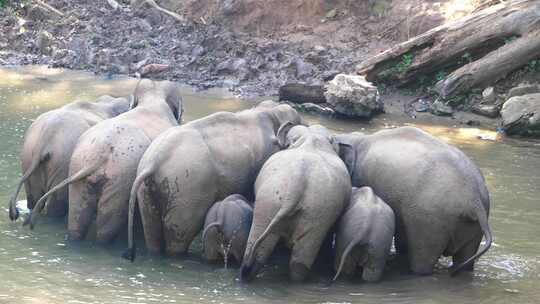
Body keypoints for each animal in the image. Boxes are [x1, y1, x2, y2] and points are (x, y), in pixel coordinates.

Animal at [30, 79, 184, 243]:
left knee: (76, 219)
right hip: (120, 179)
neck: (153, 100)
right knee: (107, 226)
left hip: (78, 167)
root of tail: (100, 154)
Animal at [123, 100, 304, 262]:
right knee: (179, 236)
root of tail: (154, 161)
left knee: (152, 230)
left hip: (148, 192)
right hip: (188, 190)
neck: (270, 113)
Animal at [338, 126, 494, 276]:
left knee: (422, 261)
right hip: (472, 226)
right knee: (465, 259)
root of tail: (474, 199)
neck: (358, 139)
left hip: (429, 220)